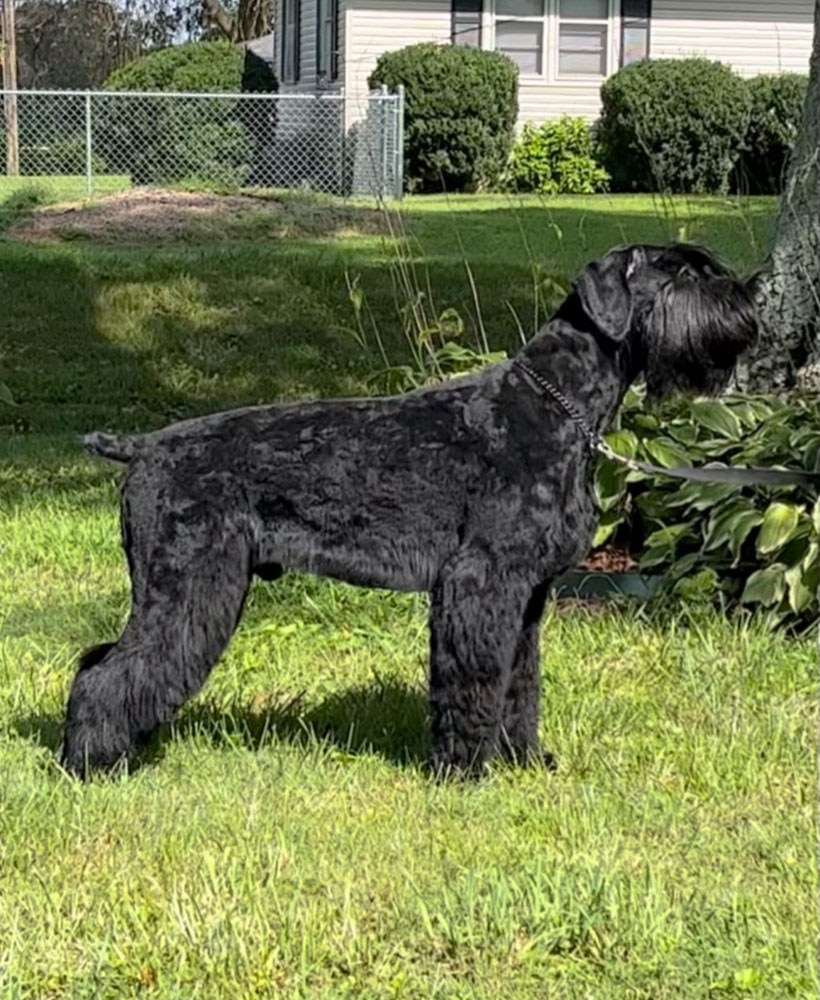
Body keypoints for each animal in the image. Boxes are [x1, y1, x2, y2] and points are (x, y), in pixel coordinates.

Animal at [61, 243, 758, 777]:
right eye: (683, 274)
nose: (749, 297)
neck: (556, 407)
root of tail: (143, 447)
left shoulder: (527, 595)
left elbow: (520, 681)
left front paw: (526, 761)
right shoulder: (479, 582)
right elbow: (474, 677)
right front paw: (464, 771)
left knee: (102, 660)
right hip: (188, 585)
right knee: (107, 672)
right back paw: (93, 766)